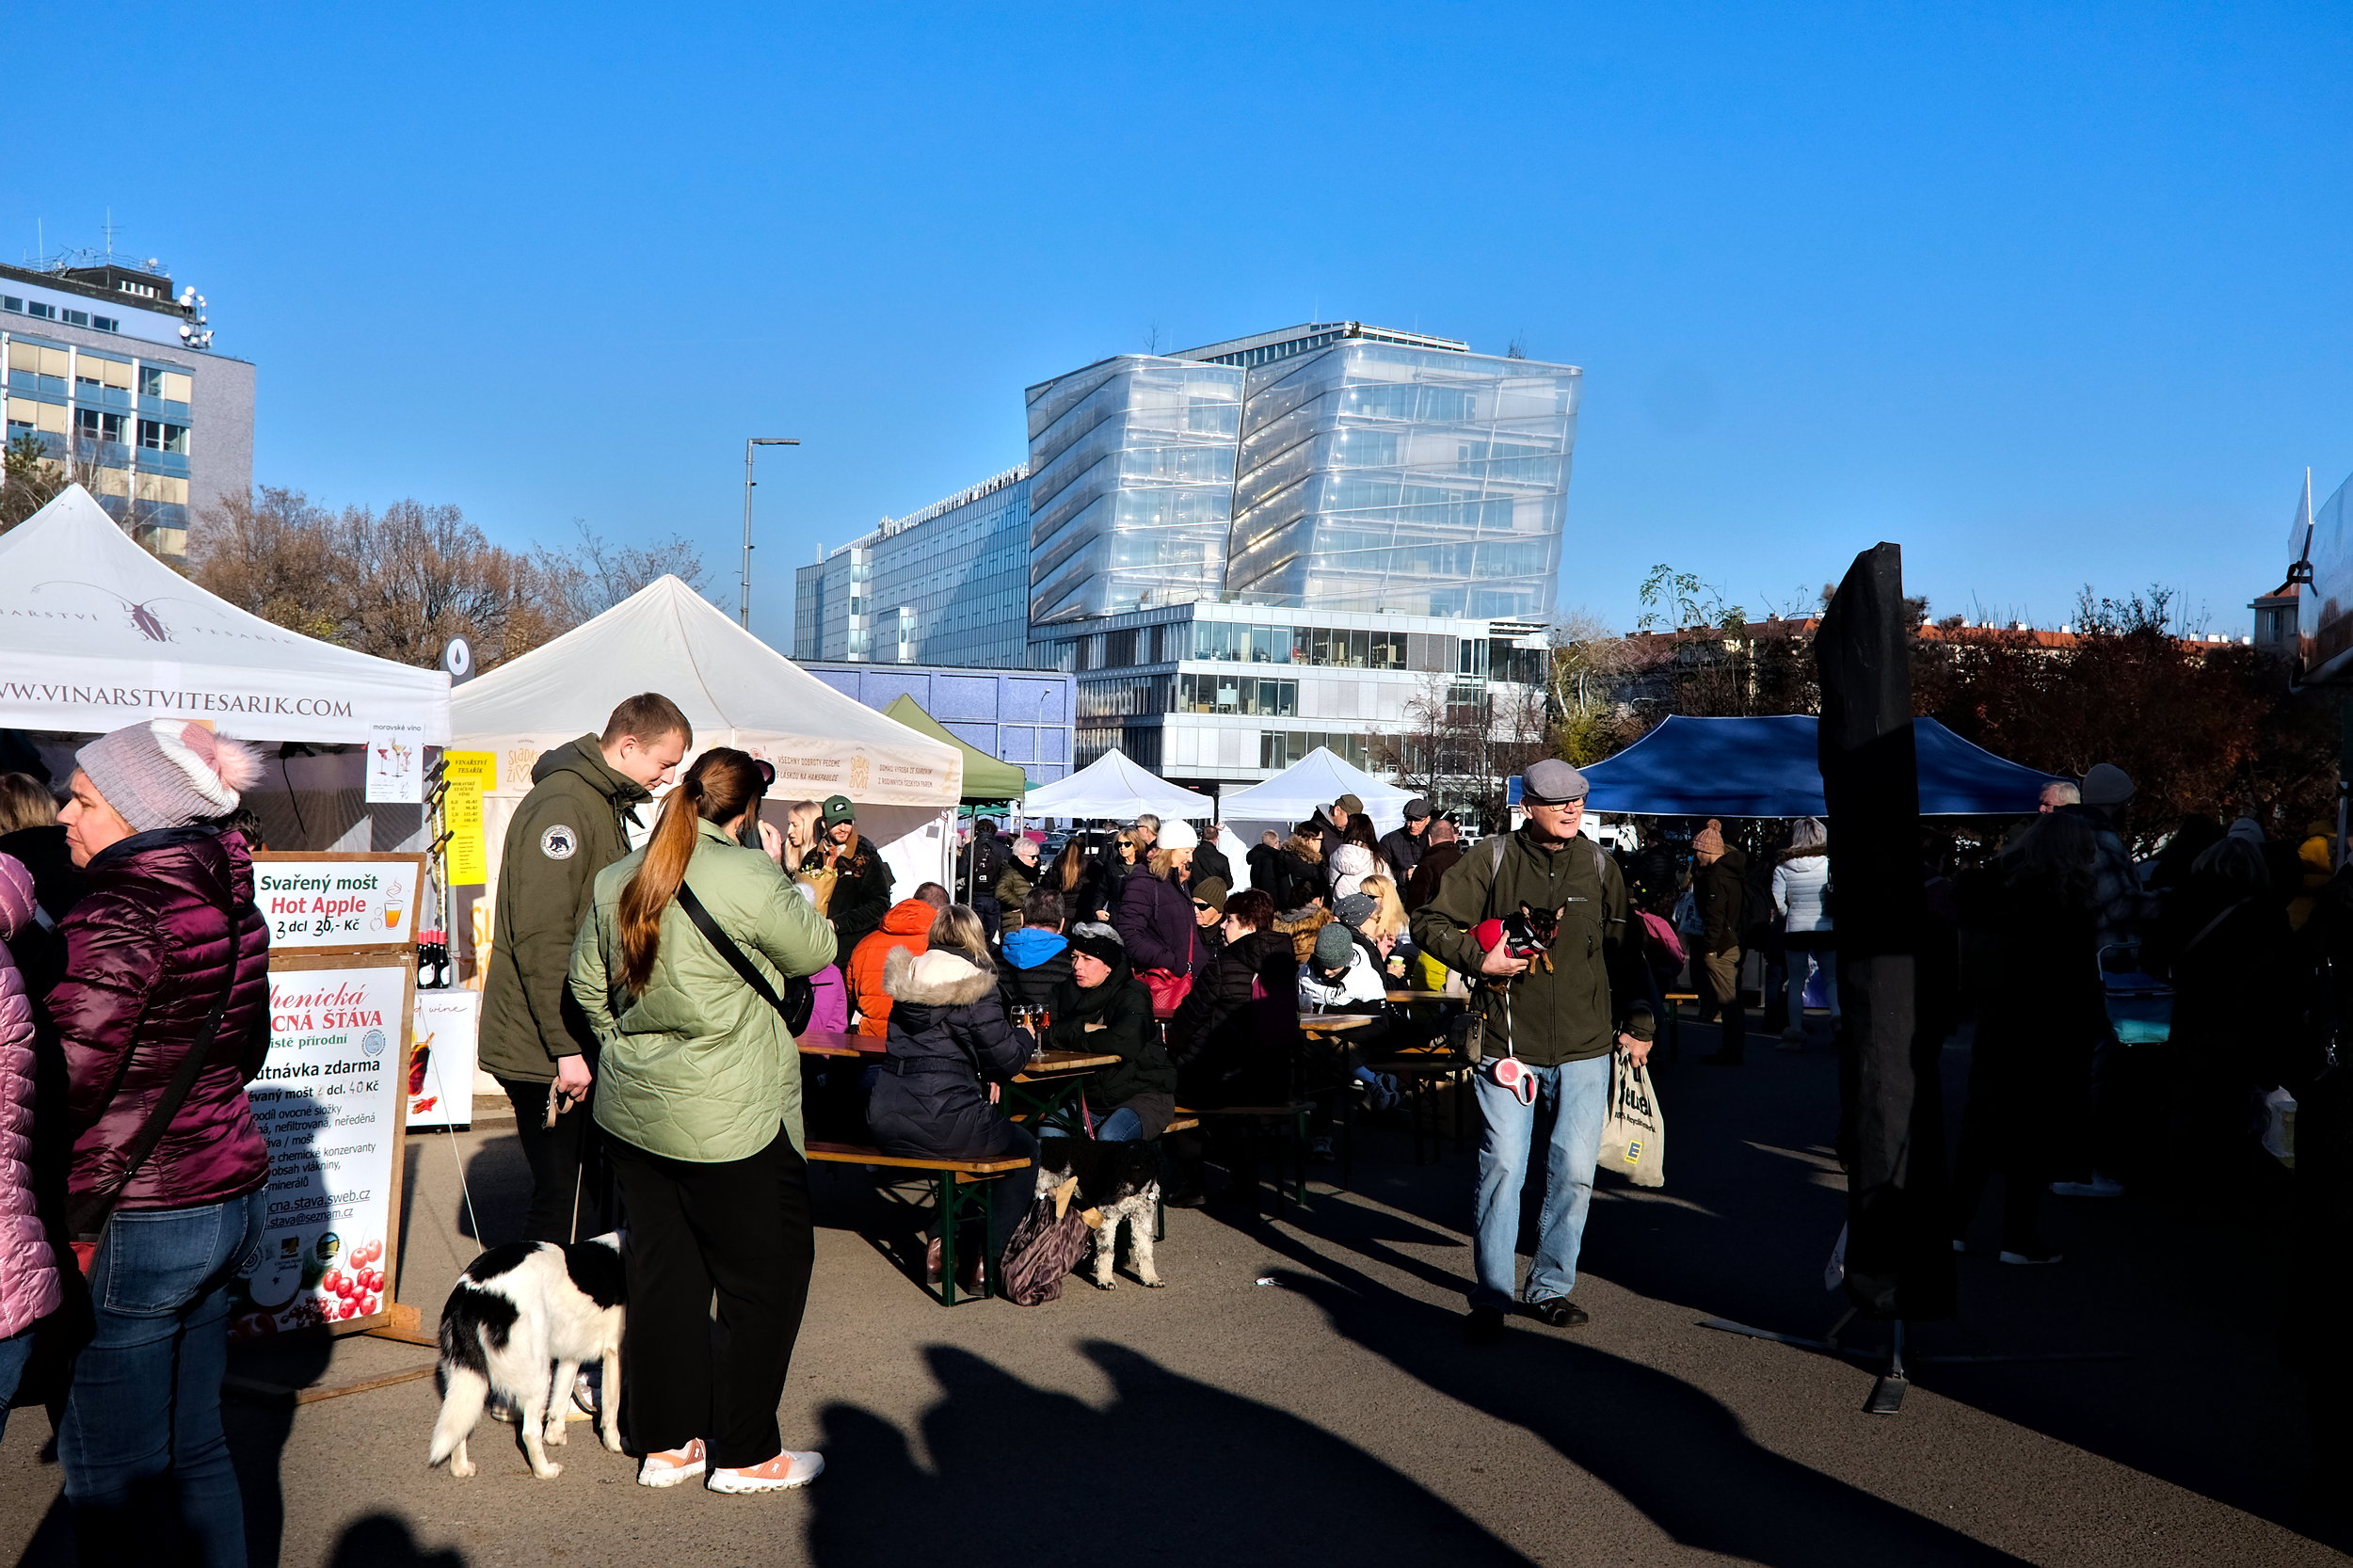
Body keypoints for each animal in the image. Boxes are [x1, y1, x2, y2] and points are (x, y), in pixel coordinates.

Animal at [428, 1224, 621, 1468]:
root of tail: (475, 1291)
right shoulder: (615, 1354)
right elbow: (612, 1407)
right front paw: (616, 1444)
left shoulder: (570, 1353)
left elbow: (561, 1397)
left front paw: (555, 1436)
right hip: (537, 1374)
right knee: (529, 1432)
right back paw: (545, 1471)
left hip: (465, 1377)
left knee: (460, 1422)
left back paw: (462, 1469)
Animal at [1040, 1129, 1167, 1289]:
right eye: (1118, 1165)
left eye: (1137, 1166)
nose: (1120, 1188)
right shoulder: (1107, 1217)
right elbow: (1107, 1251)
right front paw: (1106, 1280)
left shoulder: (1142, 1217)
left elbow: (1145, 1250)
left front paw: (1150, 1278)